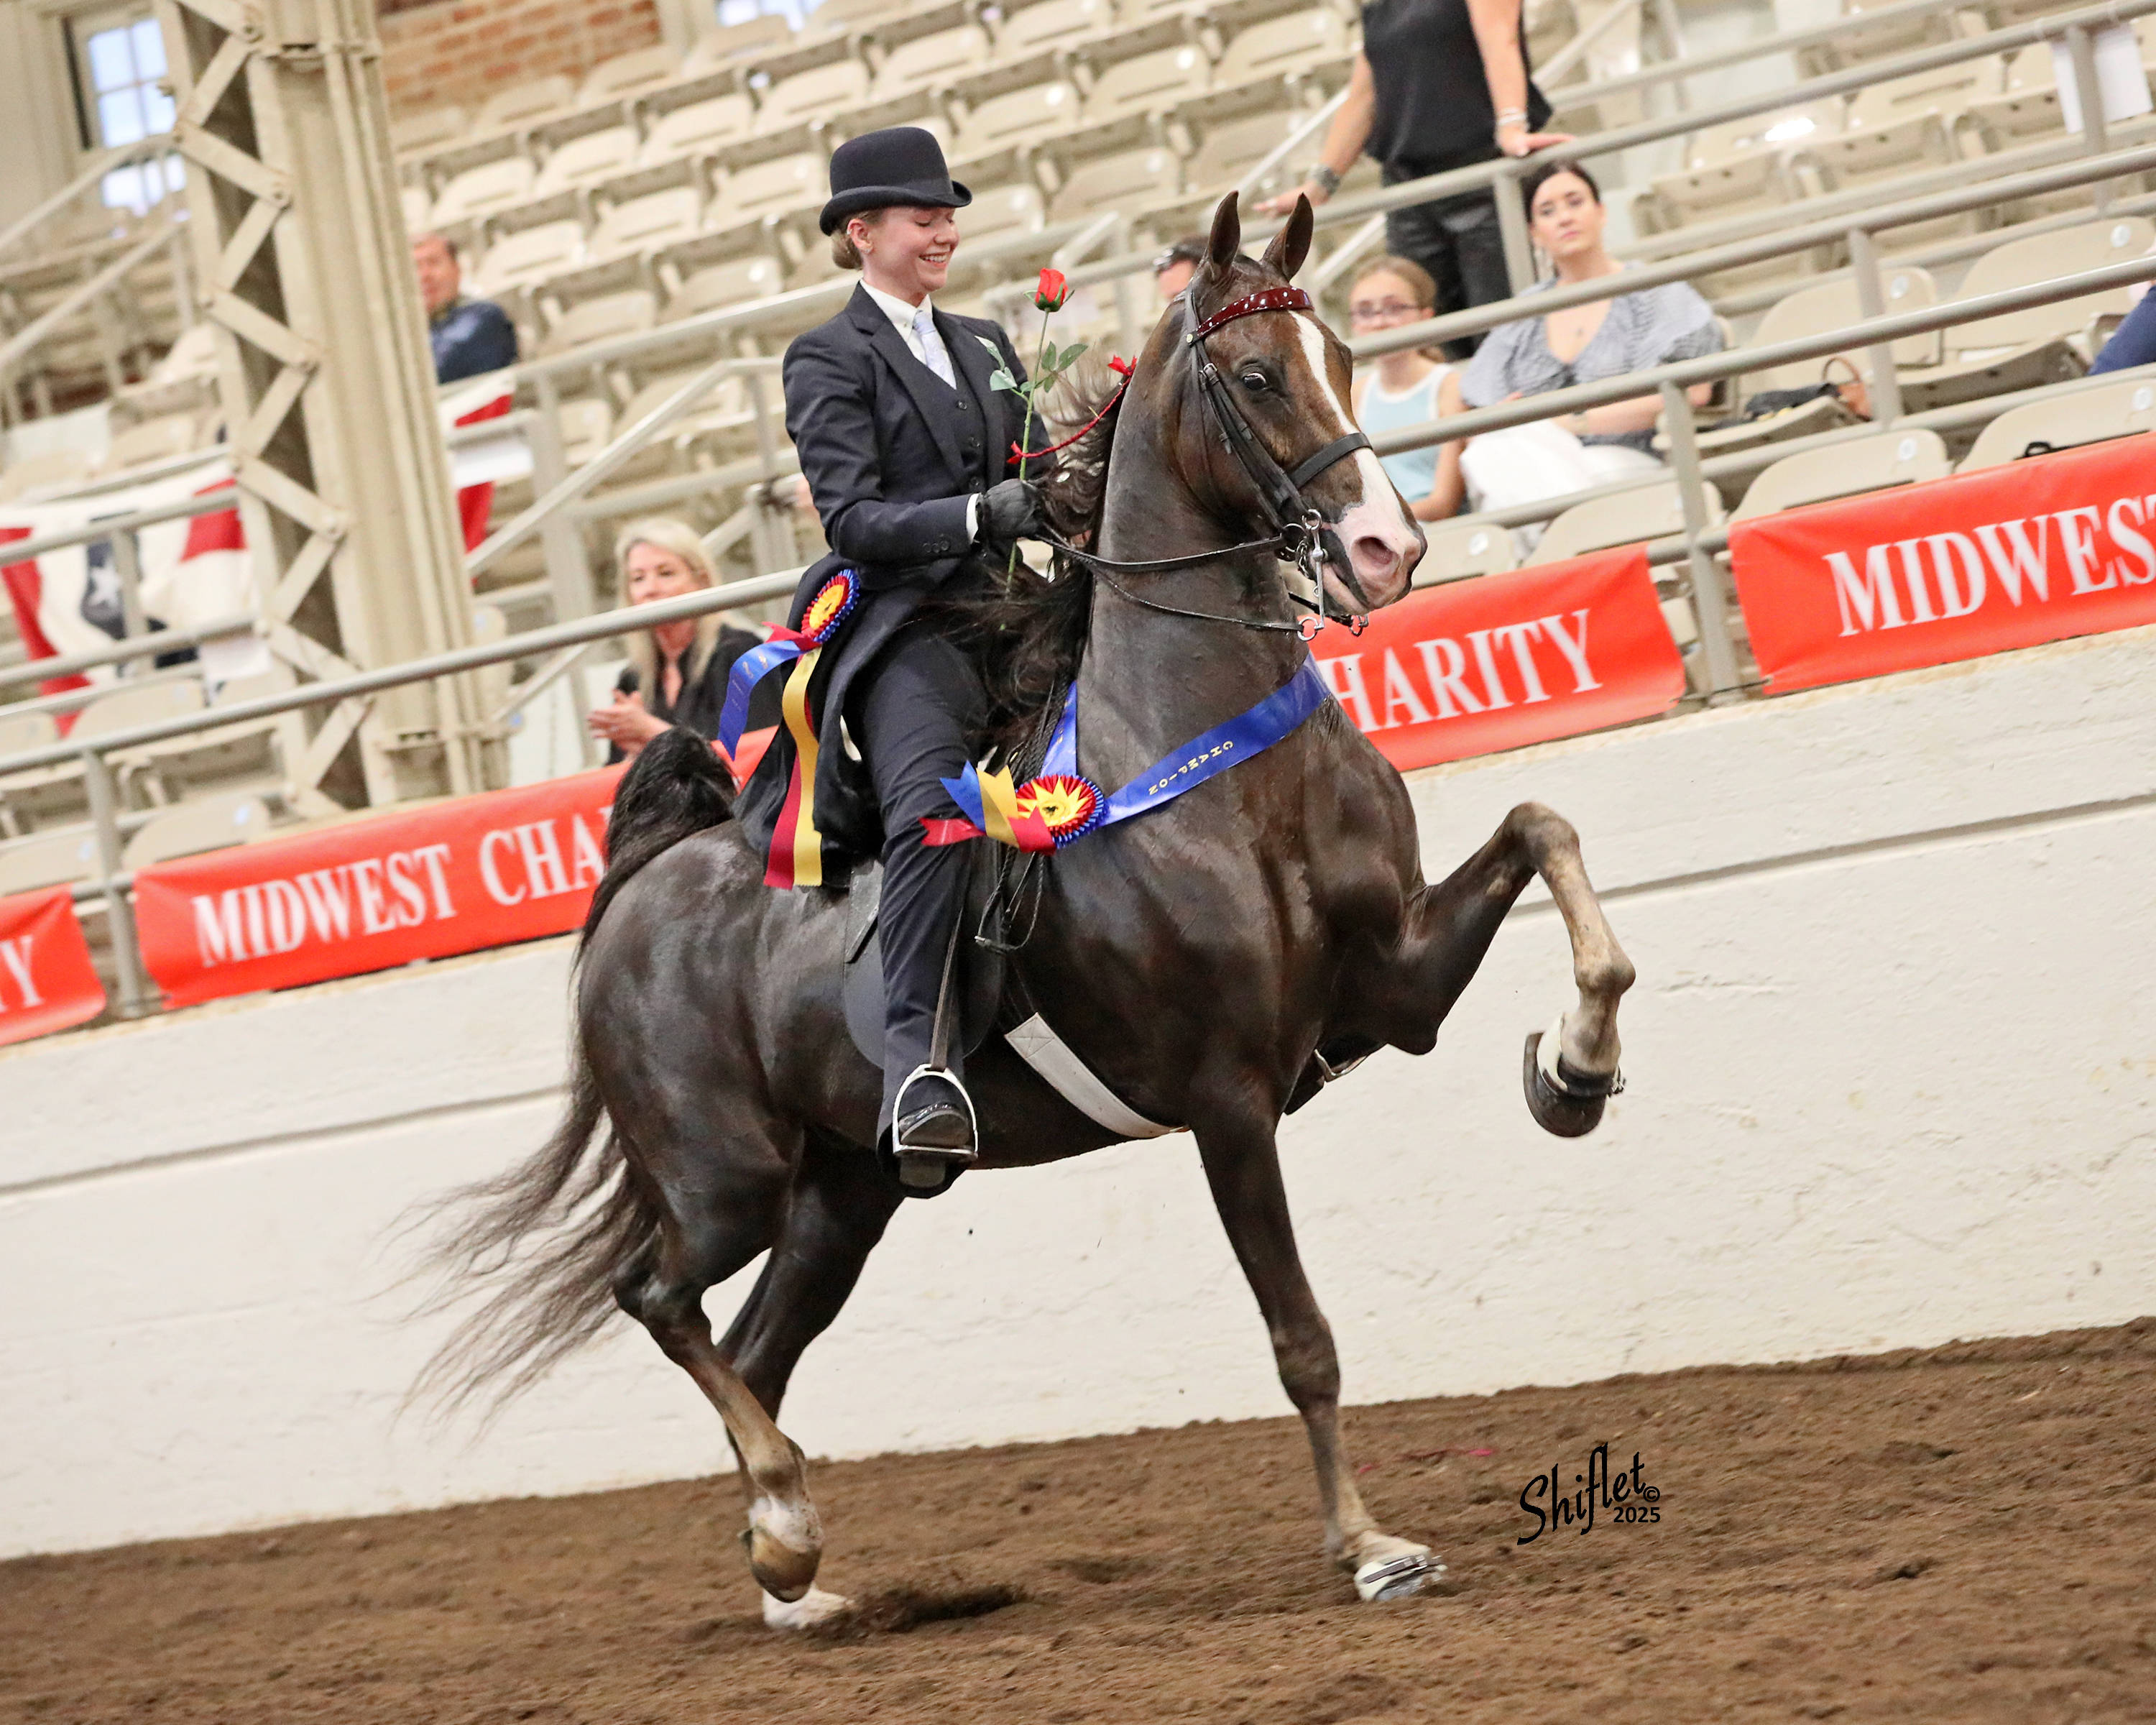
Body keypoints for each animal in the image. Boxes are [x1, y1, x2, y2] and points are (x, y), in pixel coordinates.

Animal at [418, 192, 1635, 1629]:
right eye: (1254, 376)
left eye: (1344, 351)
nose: (1389, 548)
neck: (1217, 756)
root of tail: (644, 886)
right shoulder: (1228, 1097)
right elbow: (1302, 1338)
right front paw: (1370, 1545)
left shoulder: (1391, 984)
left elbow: (1544, 829)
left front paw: (1574, 1071)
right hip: (725, 1180)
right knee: (659, 1300)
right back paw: (784, 1521)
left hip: (843, 1197)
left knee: (755, 1354)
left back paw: (792, 1571)